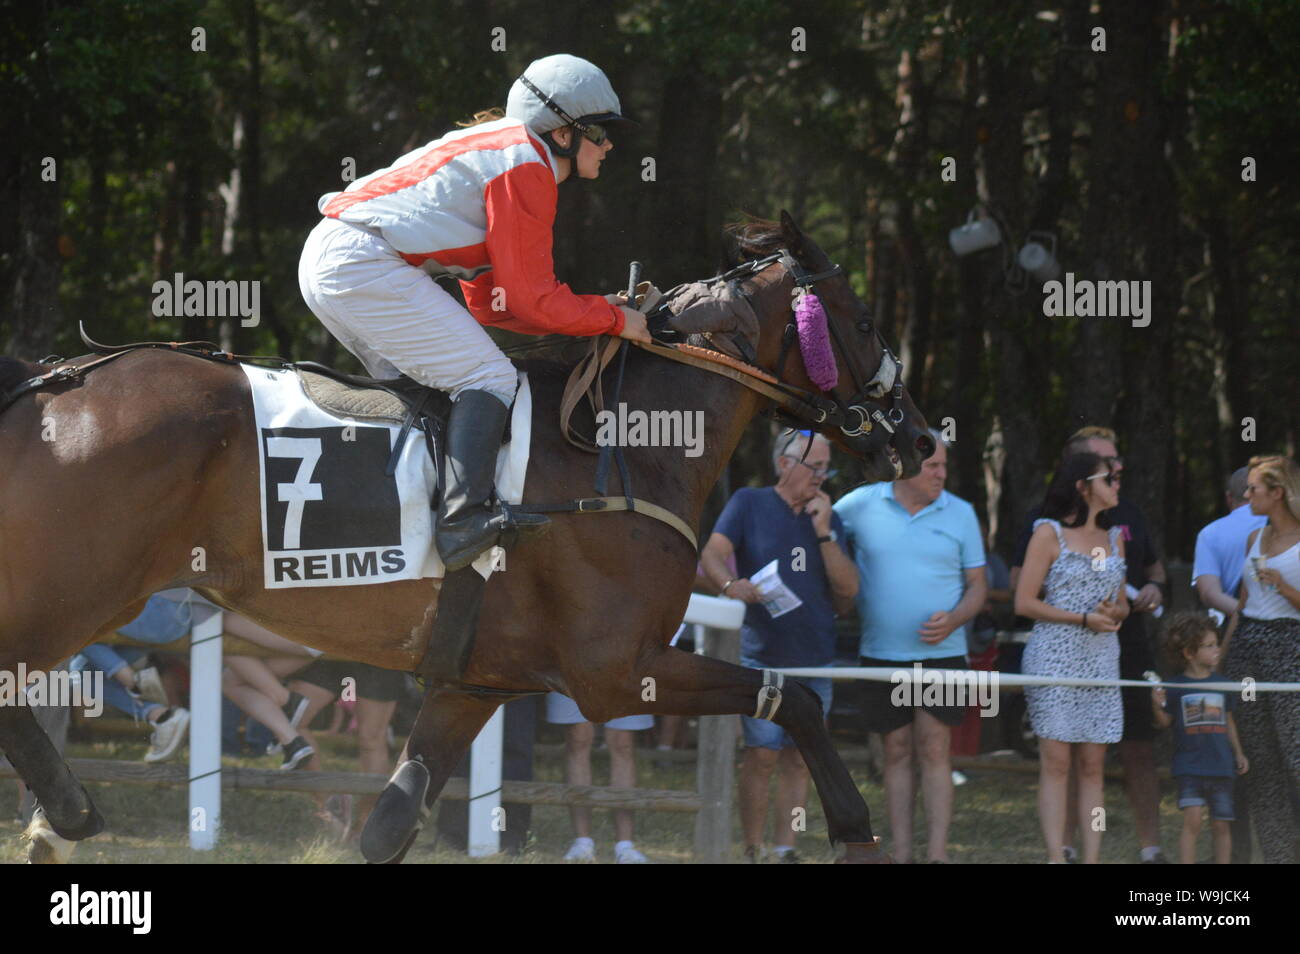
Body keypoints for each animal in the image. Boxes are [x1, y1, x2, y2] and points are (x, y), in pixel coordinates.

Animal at [0, 211, 932, 863]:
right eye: (860, 321)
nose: (921, 437)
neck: (623, 449)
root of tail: (49, 381)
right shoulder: (615, 672)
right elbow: (797, 697)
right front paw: (854, 828)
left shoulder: (472, 683)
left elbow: (391, 824)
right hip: (77, 593)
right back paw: (67, 812)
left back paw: (55, 818)